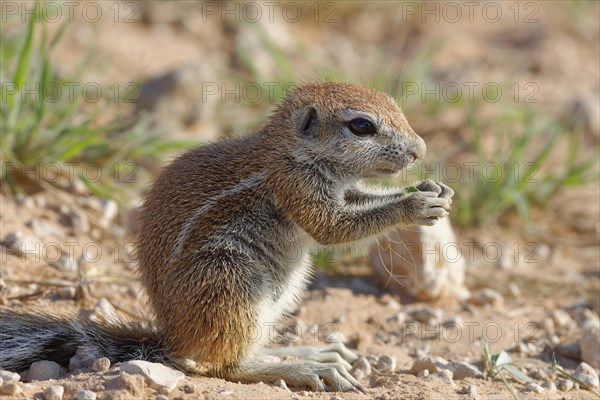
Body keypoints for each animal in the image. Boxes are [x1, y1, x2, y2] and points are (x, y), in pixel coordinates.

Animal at [0, 80, 450, 390]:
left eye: (395, 105)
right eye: (361, 126)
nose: (421, 150)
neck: (289, 150)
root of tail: (172, 340)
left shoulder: (342, 188)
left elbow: (361, 200)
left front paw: (431, 190)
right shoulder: (297, 186)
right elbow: (331, 227)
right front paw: (414, 206)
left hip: (278, 292)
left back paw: (307, 350)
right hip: (230, 279)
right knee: (224, 364)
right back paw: (304, 367)